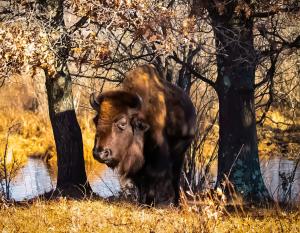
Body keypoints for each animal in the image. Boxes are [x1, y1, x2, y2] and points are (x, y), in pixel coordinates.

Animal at [90, 64, 196, 206]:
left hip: (181, 153)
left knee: (175, 177)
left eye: (122, 123)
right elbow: (140, 182)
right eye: (95, 120)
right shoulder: (137, 166)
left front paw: (151, 203)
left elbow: (153, 179)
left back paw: (176, 202)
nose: (100, 153)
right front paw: (142, 202)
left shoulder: (157, 159)